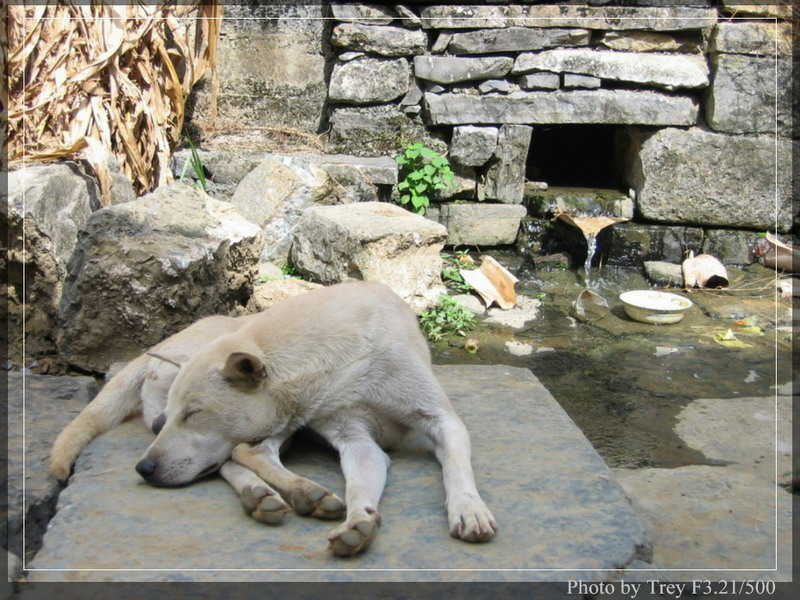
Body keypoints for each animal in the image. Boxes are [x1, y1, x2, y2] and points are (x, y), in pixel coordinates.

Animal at [50, 281, 497, 555]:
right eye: (174, 418)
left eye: (193, 414)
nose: (142, 469)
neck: (342, 361)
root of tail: (151, 351)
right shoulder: (352, 436)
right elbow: (356, 482)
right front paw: (357, 521)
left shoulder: (441, 421)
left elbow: (454, 468)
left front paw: (467, 510)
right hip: (280, 423)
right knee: (241, 456)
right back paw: (287, 492)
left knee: (238, 457)